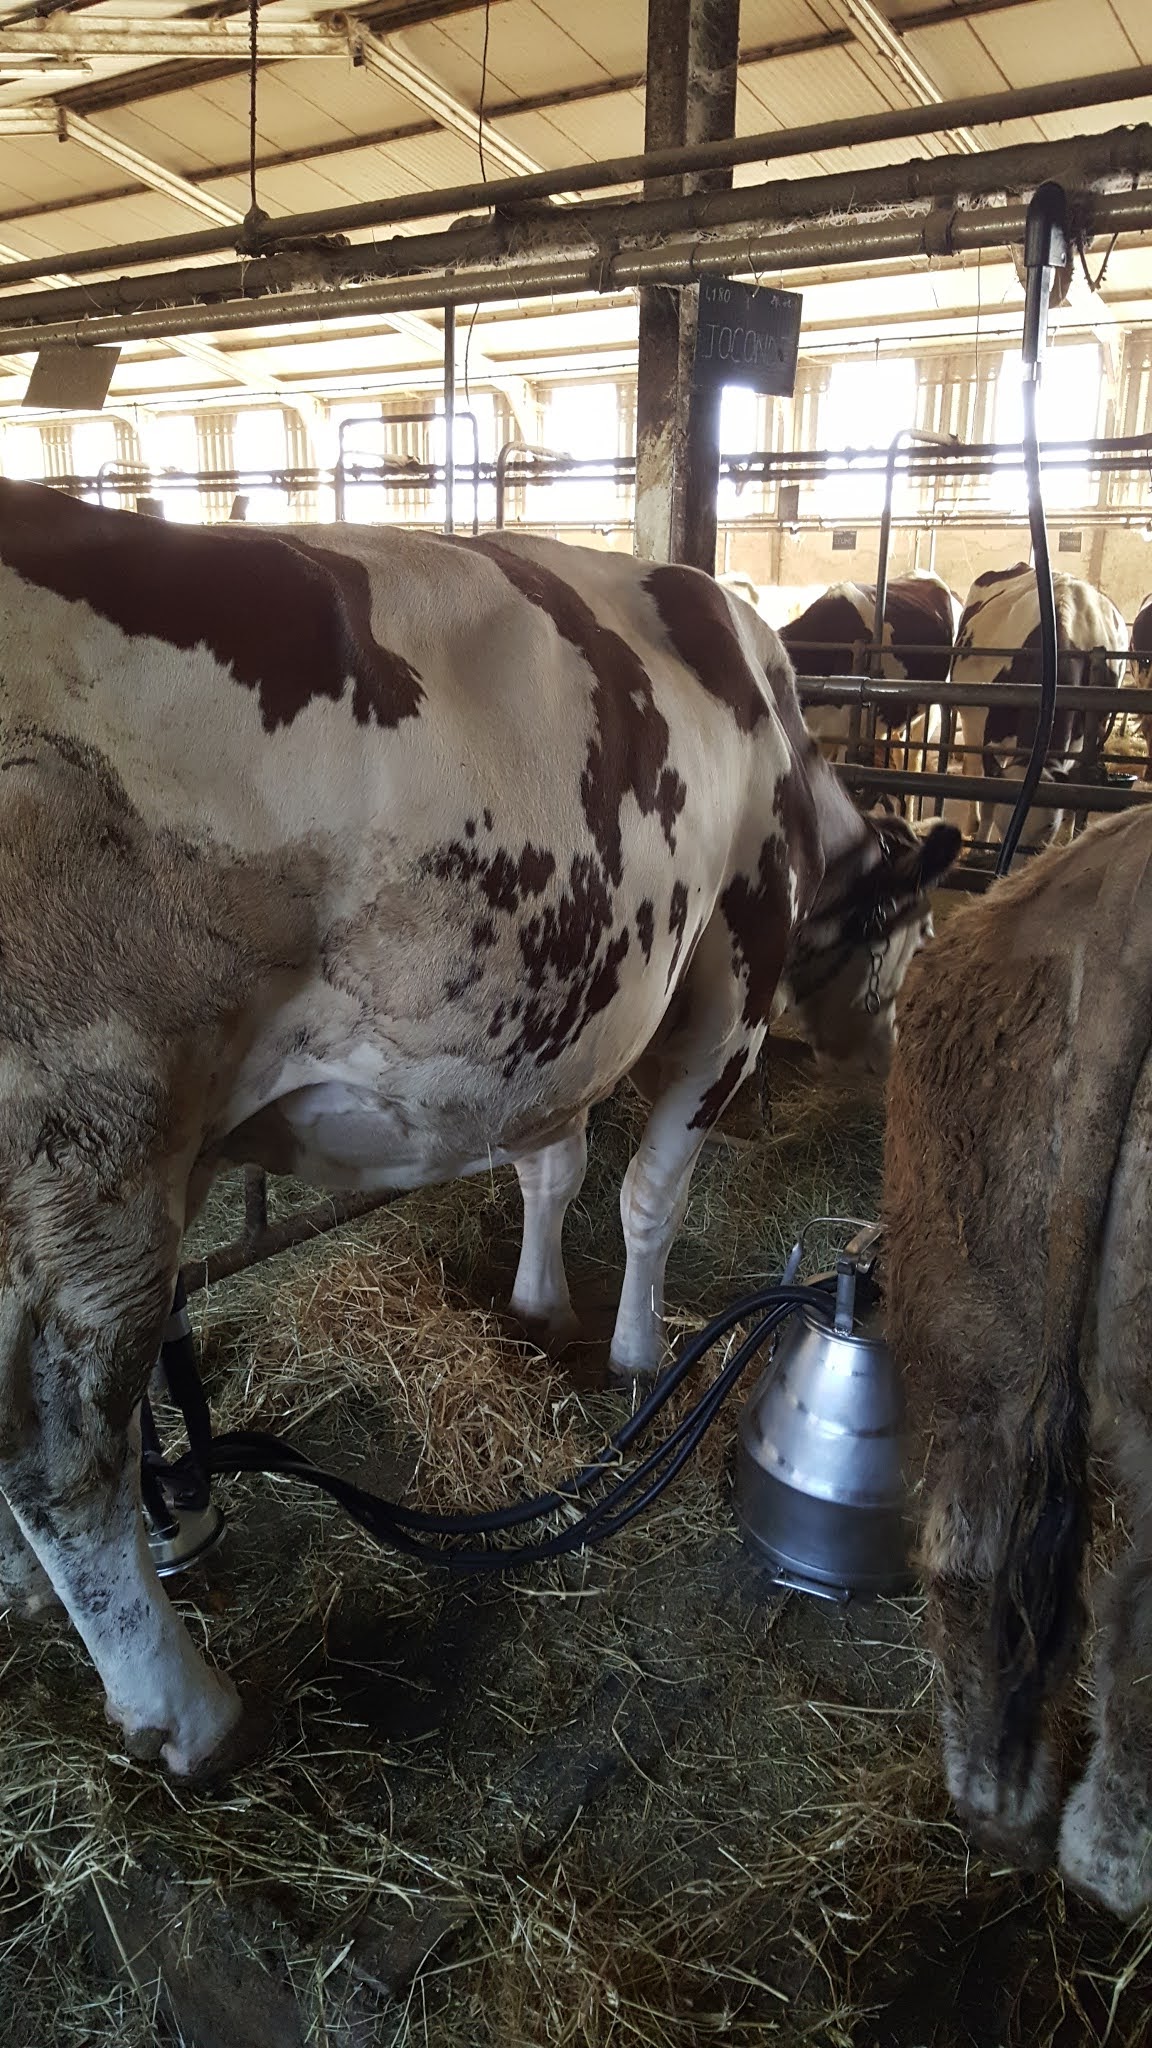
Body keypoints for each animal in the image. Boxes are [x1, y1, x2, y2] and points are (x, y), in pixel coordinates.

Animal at [951, 563, 1127, 846]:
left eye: (1048, 827)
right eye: (1002, 824)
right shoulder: (992, 735)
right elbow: (989, 798)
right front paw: (980, 842)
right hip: (971, 722)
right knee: (972, 767)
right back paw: (971, 822)